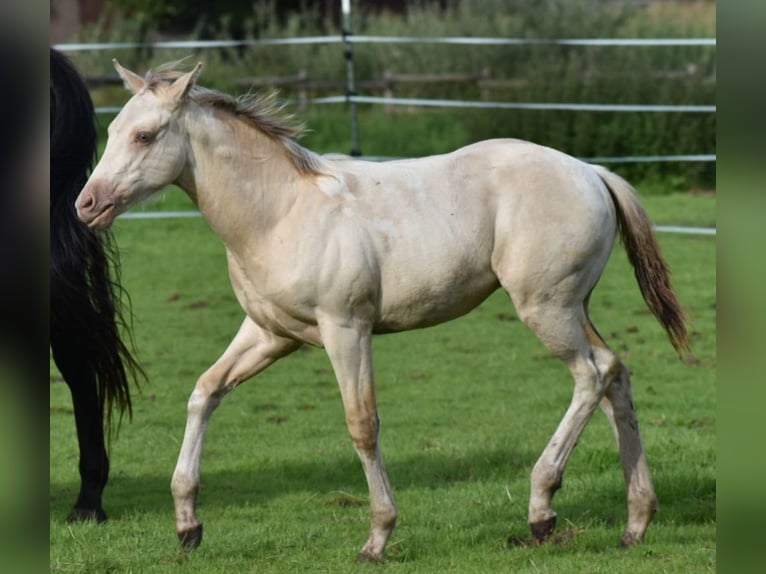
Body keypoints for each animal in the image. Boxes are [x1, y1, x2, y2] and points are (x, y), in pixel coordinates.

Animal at [76, 62, 688, 564]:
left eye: (145, 135)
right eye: (112, 131)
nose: (87, 203)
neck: (280, 212)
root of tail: (592, 172)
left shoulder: (346, 329)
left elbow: (362, 424)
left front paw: (378, 536)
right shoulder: (272, 334)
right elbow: (204, 392)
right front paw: (187, 526)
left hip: (545, 307)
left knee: (591, 375)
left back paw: (542, 510)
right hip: (572, 307)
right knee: (615, 376)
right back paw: (635, 523)